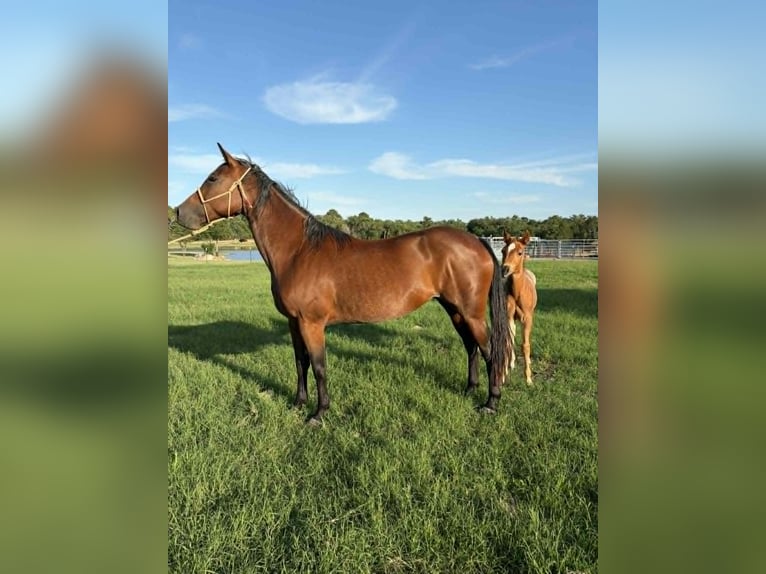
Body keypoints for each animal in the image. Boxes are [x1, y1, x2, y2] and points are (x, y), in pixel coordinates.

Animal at [174, 144, 511, 423]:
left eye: (213, 178)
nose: (178, 212)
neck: (299, 251)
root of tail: (478, 242)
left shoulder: (312, 324)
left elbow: (319, 366)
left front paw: (319, 414)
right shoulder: (294, 323)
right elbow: (300, 362)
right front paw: (298, 404)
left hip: (470, 312)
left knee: (489, 350)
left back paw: (491, 403)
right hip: (454, 309)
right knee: (471, 347)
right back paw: (470, 390)